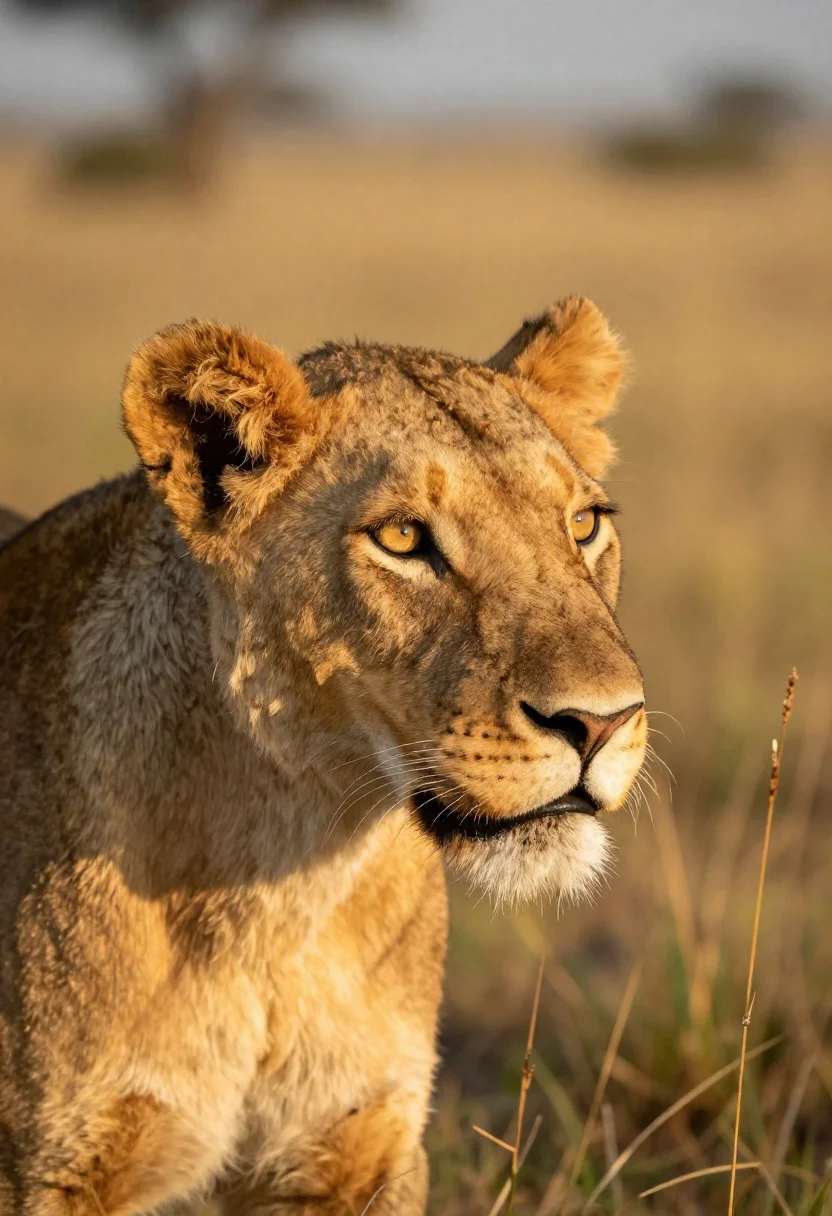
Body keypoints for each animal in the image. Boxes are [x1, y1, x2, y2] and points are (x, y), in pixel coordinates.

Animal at [0, 297, 646, 1215]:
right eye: (404, 538)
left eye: (584, 524)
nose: (601, 722)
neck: (281, 882)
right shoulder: (47, 1169)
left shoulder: (358, 1148)